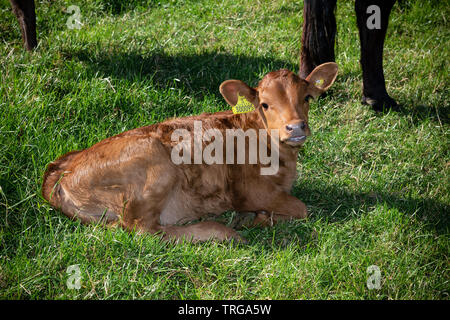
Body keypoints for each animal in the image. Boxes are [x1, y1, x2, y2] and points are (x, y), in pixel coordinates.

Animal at [42, 62, 338, 242]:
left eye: (307, 98)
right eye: (264, 104)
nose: (296, 127)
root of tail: (59, 171)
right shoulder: (250, 191)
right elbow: (301, 208)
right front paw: (257, 218)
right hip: (155, 166)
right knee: (144, 230)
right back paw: (222, 231)